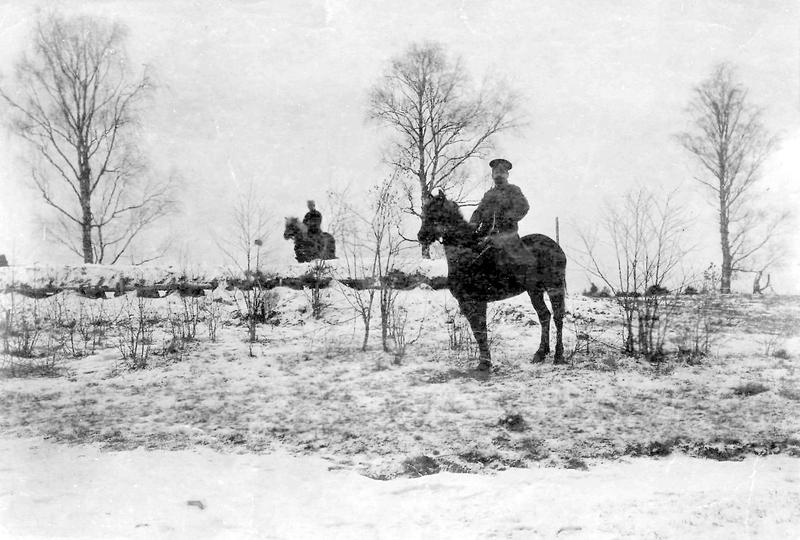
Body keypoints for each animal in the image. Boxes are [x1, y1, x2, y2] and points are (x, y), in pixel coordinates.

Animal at [416, 192, 564, 374]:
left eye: (435, 214)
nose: (421, 236)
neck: (469, 256)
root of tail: (555, 246)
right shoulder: (466, 302)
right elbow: (478, 331)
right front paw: (485, 362)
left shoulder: (477, 301)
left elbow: (480, 330)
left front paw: (484, 363)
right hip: (534, 291)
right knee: (544, 316)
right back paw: (540, 354)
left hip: (555, 287)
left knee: (558, 317)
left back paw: (558, 355)